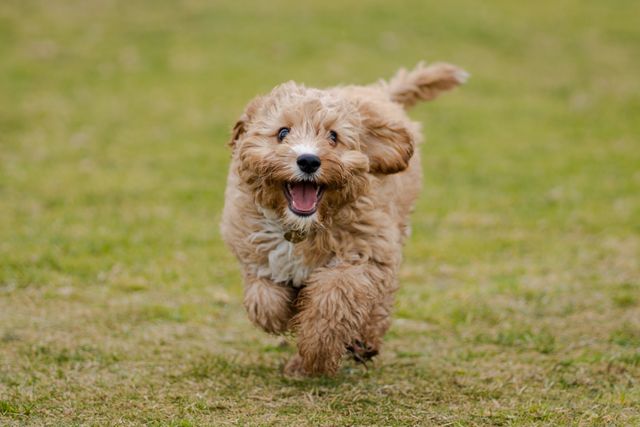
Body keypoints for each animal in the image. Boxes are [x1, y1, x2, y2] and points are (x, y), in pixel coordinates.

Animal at [222, 61, 468, 376]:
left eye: (333, 137)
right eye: (282, 132)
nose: (308, 160)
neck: (301, 228)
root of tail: (379, 93)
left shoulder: (364, 254)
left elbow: (334, 299)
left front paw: (317, 352)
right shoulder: (253, 247)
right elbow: (263, 299)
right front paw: (284, 314)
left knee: (379, 303)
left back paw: (363, 341)